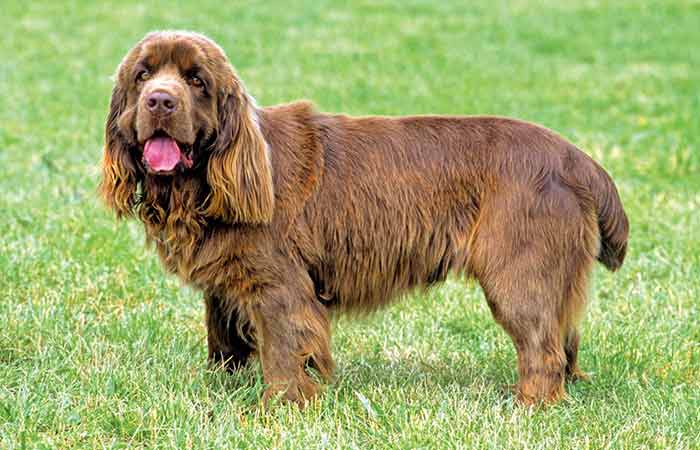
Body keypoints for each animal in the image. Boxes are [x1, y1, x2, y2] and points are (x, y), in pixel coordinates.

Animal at [98, 29, 628, 406]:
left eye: (196, 81)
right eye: (143, 75)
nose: (160, 100)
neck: (201, 185)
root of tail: (576, 157)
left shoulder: (279, 284)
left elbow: (284, 350)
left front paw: (277, 407)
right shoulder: (226, 284)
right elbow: (224, 341)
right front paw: (220, 391)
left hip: (518, 272)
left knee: (541, 347)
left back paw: (527, 406)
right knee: (564, 338)